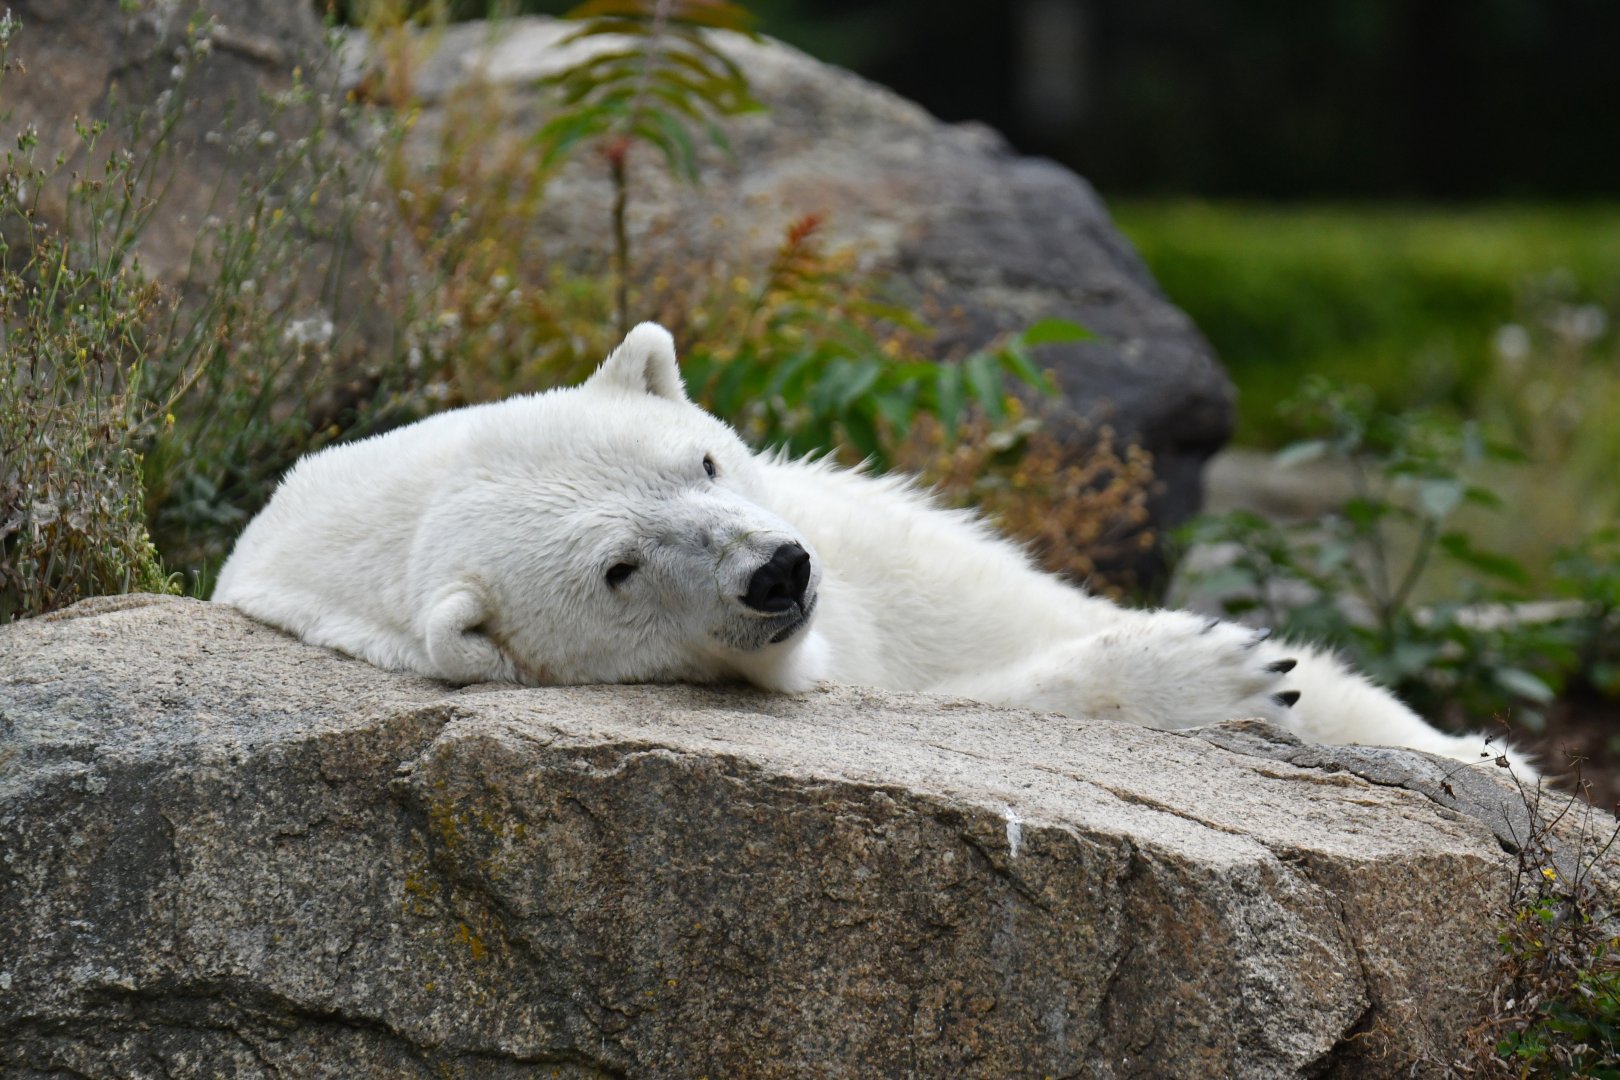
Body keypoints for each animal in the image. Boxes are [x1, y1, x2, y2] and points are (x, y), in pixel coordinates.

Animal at [214, 322, 1535, 776]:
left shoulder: (882, 549)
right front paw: (1218, 671)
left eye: (701, 461)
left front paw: (1483, 756)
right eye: (619, 571)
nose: (777, 573)